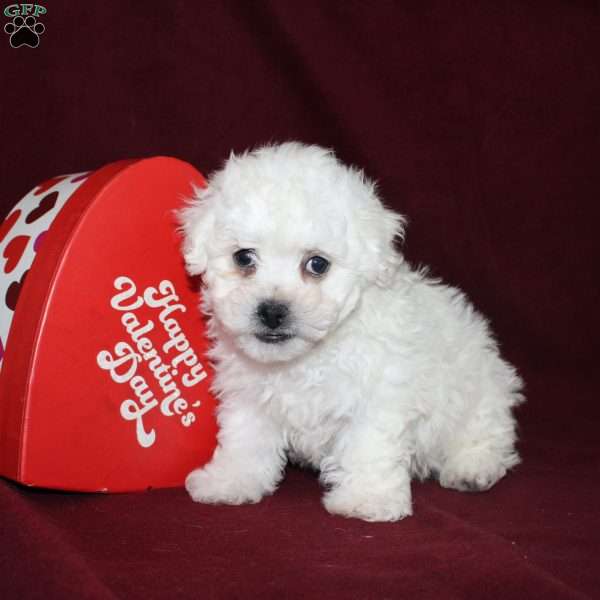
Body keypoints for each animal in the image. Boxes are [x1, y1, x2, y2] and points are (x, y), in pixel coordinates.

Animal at [180, 142, 524, 520]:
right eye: (243, 258)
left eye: (317, 264)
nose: (272, 311)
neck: (306, 359)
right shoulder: (249, 397)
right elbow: (245, 439)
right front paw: (230, 481)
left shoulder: (378, 394)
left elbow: (368, 446)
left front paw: (366, 499)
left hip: (481, 394)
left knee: (488, 433)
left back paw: (472, 467)